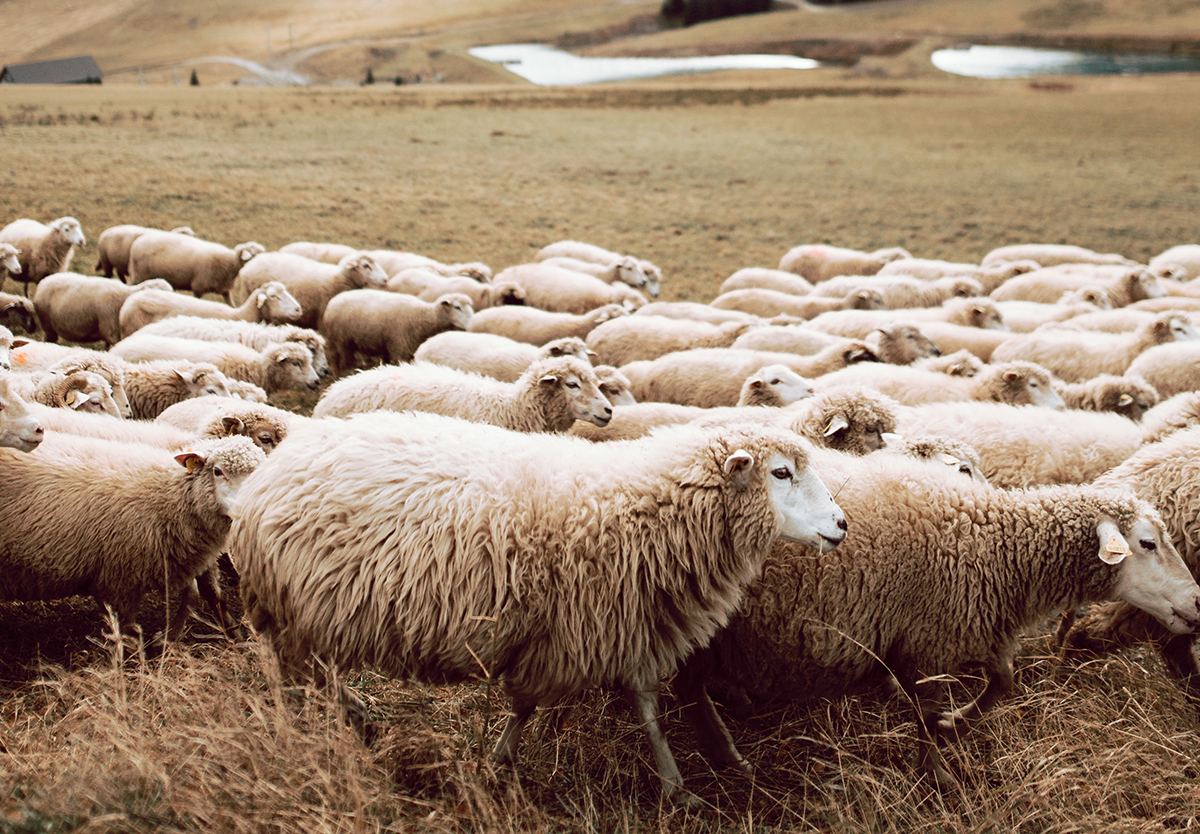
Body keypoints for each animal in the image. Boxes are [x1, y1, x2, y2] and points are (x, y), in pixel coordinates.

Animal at [0, 435, 265, 638]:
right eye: (218, 471)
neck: (169, 496)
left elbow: (196, 595)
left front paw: (166, 639)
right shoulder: (121, 579)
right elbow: (129, 632)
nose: (247, 507)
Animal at [128, 230, 264, 300]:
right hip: (139, 275)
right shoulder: (198, 287)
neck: (231, 263)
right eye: (254, 256)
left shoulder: (225, 290)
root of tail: (137, 242)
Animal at [233, 412, 844, 803]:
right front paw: (499, 764)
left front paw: (674, 784)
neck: (649, 502)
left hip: (308, 614)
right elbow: (530, 705)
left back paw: (352, 717)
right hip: (303, 610)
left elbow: (643, 705)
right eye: (781, 473)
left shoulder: (625, 623)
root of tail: (269, 472)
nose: (841, 525)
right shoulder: (575, 630)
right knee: (301, 677)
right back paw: (317, 728)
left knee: (313, 675)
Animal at [320, 290, 473, 377]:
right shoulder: (399, 349)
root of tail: (333, 300)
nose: (469, 326)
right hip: (341, 340)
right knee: (341, 362)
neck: (423, 317)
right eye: (457, 307)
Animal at [676, 451, 1199, 787]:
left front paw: (956, 724)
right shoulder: (927, 638)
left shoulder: (976, 625)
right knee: (690, 691)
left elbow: (1002, 683)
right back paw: (727, 758)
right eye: (1148, 543)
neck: (996, 546)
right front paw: (939, 774)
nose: (1197, 602)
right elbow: (925, 716)